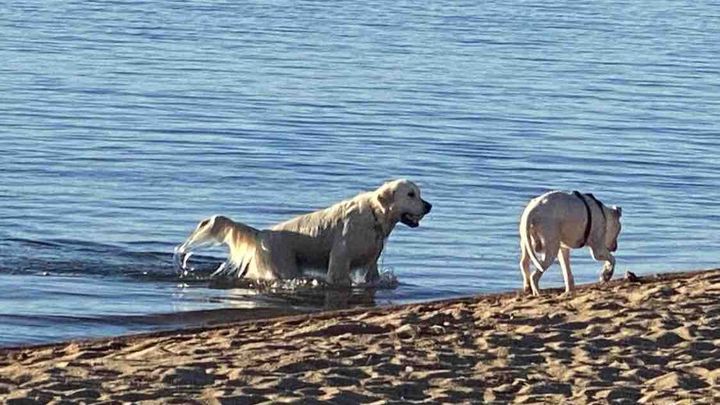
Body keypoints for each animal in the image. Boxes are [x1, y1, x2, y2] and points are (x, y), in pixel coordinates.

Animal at [174, 179, 432, 286]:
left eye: (419, 193)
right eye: (411, 194)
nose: (429, 206)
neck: (373, 216)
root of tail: (261, 233)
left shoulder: (371, 265)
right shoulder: (339, 262)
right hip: (283, 268)